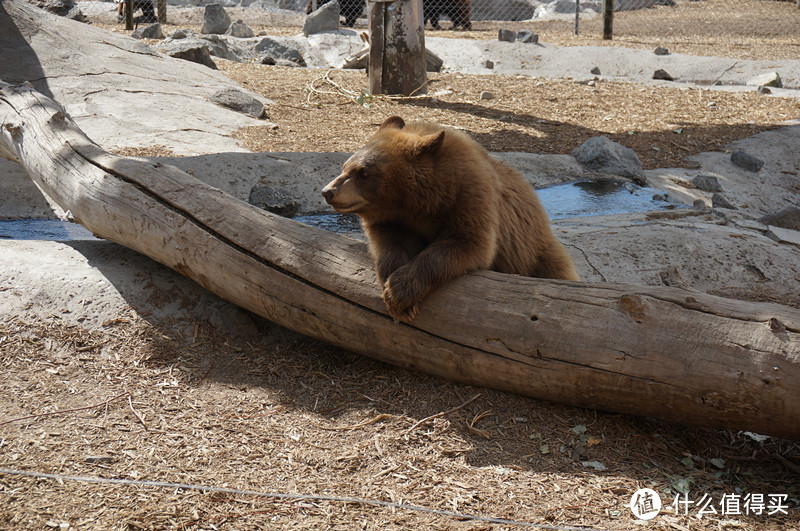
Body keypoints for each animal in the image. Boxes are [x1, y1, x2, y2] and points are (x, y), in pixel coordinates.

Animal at [322, 116, 580, 322]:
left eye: (363, 172)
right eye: (345, 166)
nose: (328, 191)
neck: (419, 202)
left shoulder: (468, 196)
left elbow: (467, 243)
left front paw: (400, 292)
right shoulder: (392, 218)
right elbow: (388, 241)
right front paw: (392, 285)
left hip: (534, 254)